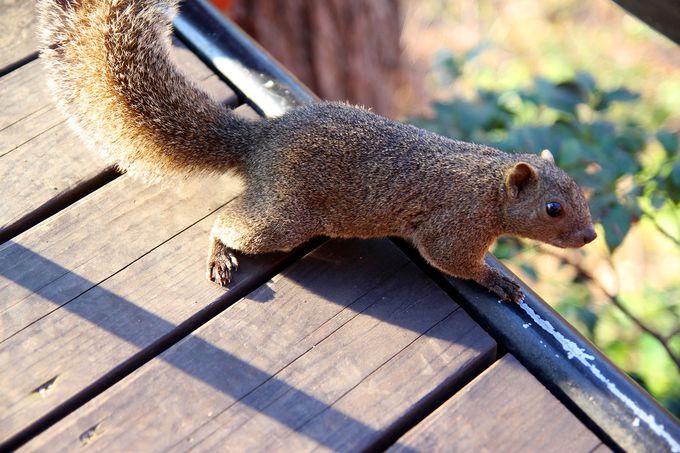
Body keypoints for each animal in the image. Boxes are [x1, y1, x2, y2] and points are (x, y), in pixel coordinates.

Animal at [39, 1, 596, 304]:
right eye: (553, 208)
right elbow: (449, 259)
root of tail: (261, 141)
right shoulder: (455, 223)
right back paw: (220, 253)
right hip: (284, 217)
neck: (487, 183)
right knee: (227, 223)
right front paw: (495, 280)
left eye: (582, 194)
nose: (591, 236)